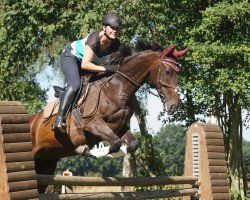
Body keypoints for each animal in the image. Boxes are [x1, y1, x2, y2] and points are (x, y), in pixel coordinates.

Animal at [29, 41, 188, 192]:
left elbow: (131, 144)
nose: (174, 105)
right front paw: (93, 151)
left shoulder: (119, 128)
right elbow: (115, 142)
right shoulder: (92, 124)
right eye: (167, 71)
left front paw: (104, 152)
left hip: (47, 161)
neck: (117, 88)